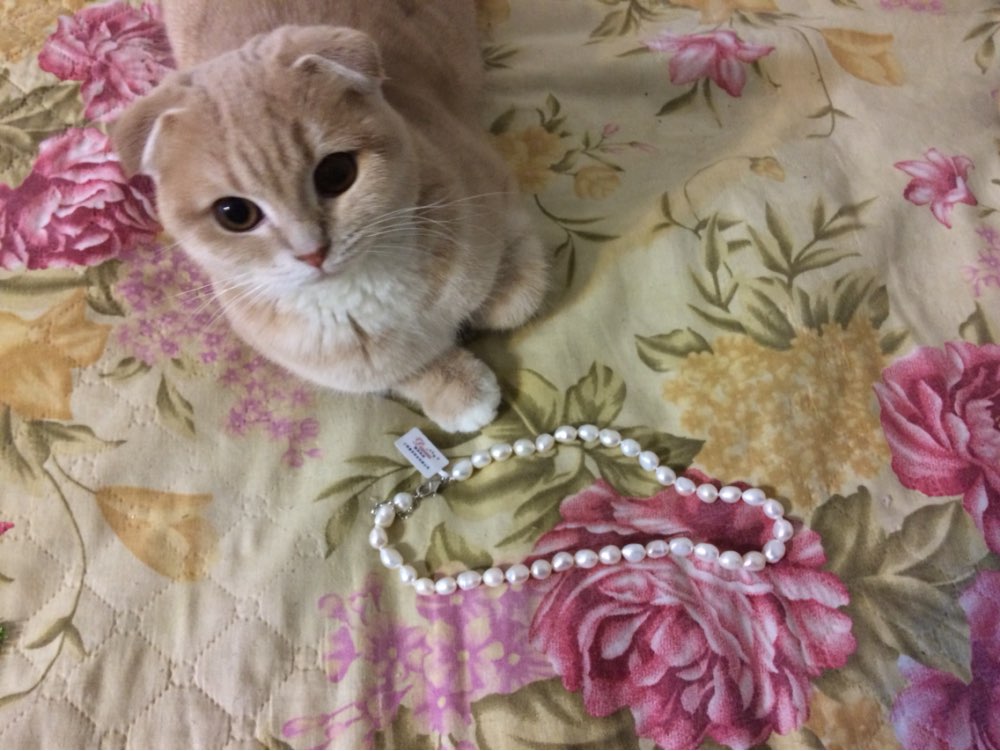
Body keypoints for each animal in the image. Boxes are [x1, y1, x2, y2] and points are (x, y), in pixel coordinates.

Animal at [111, 0, 548, 432]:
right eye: (234, 213)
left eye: (336, 173)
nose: (312, 252)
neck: (363, 289)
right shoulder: (340, 365)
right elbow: (398, 369)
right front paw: (457, 388)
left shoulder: (493, 186)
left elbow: (516, 298)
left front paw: (499, 293)